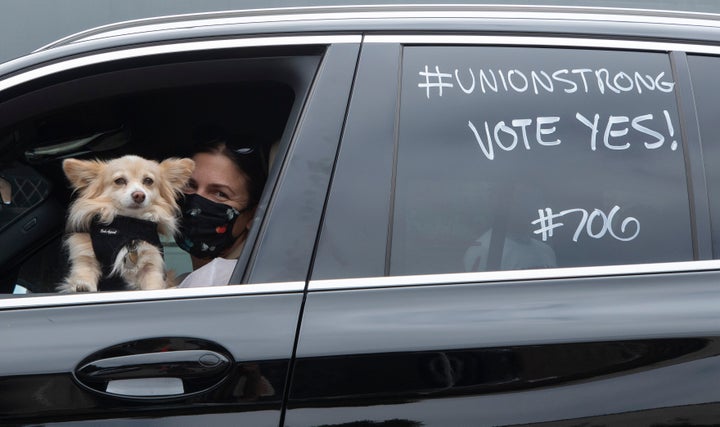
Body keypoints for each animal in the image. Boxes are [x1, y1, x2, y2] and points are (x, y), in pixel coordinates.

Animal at [59, 155, 194, 292]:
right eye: (119, 181)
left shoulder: (151, 264)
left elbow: (152, 284)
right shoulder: (85, 254)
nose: (139, 195)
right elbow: (85, 270)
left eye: (148, 181)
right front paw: (83, 286)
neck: (128, 225)